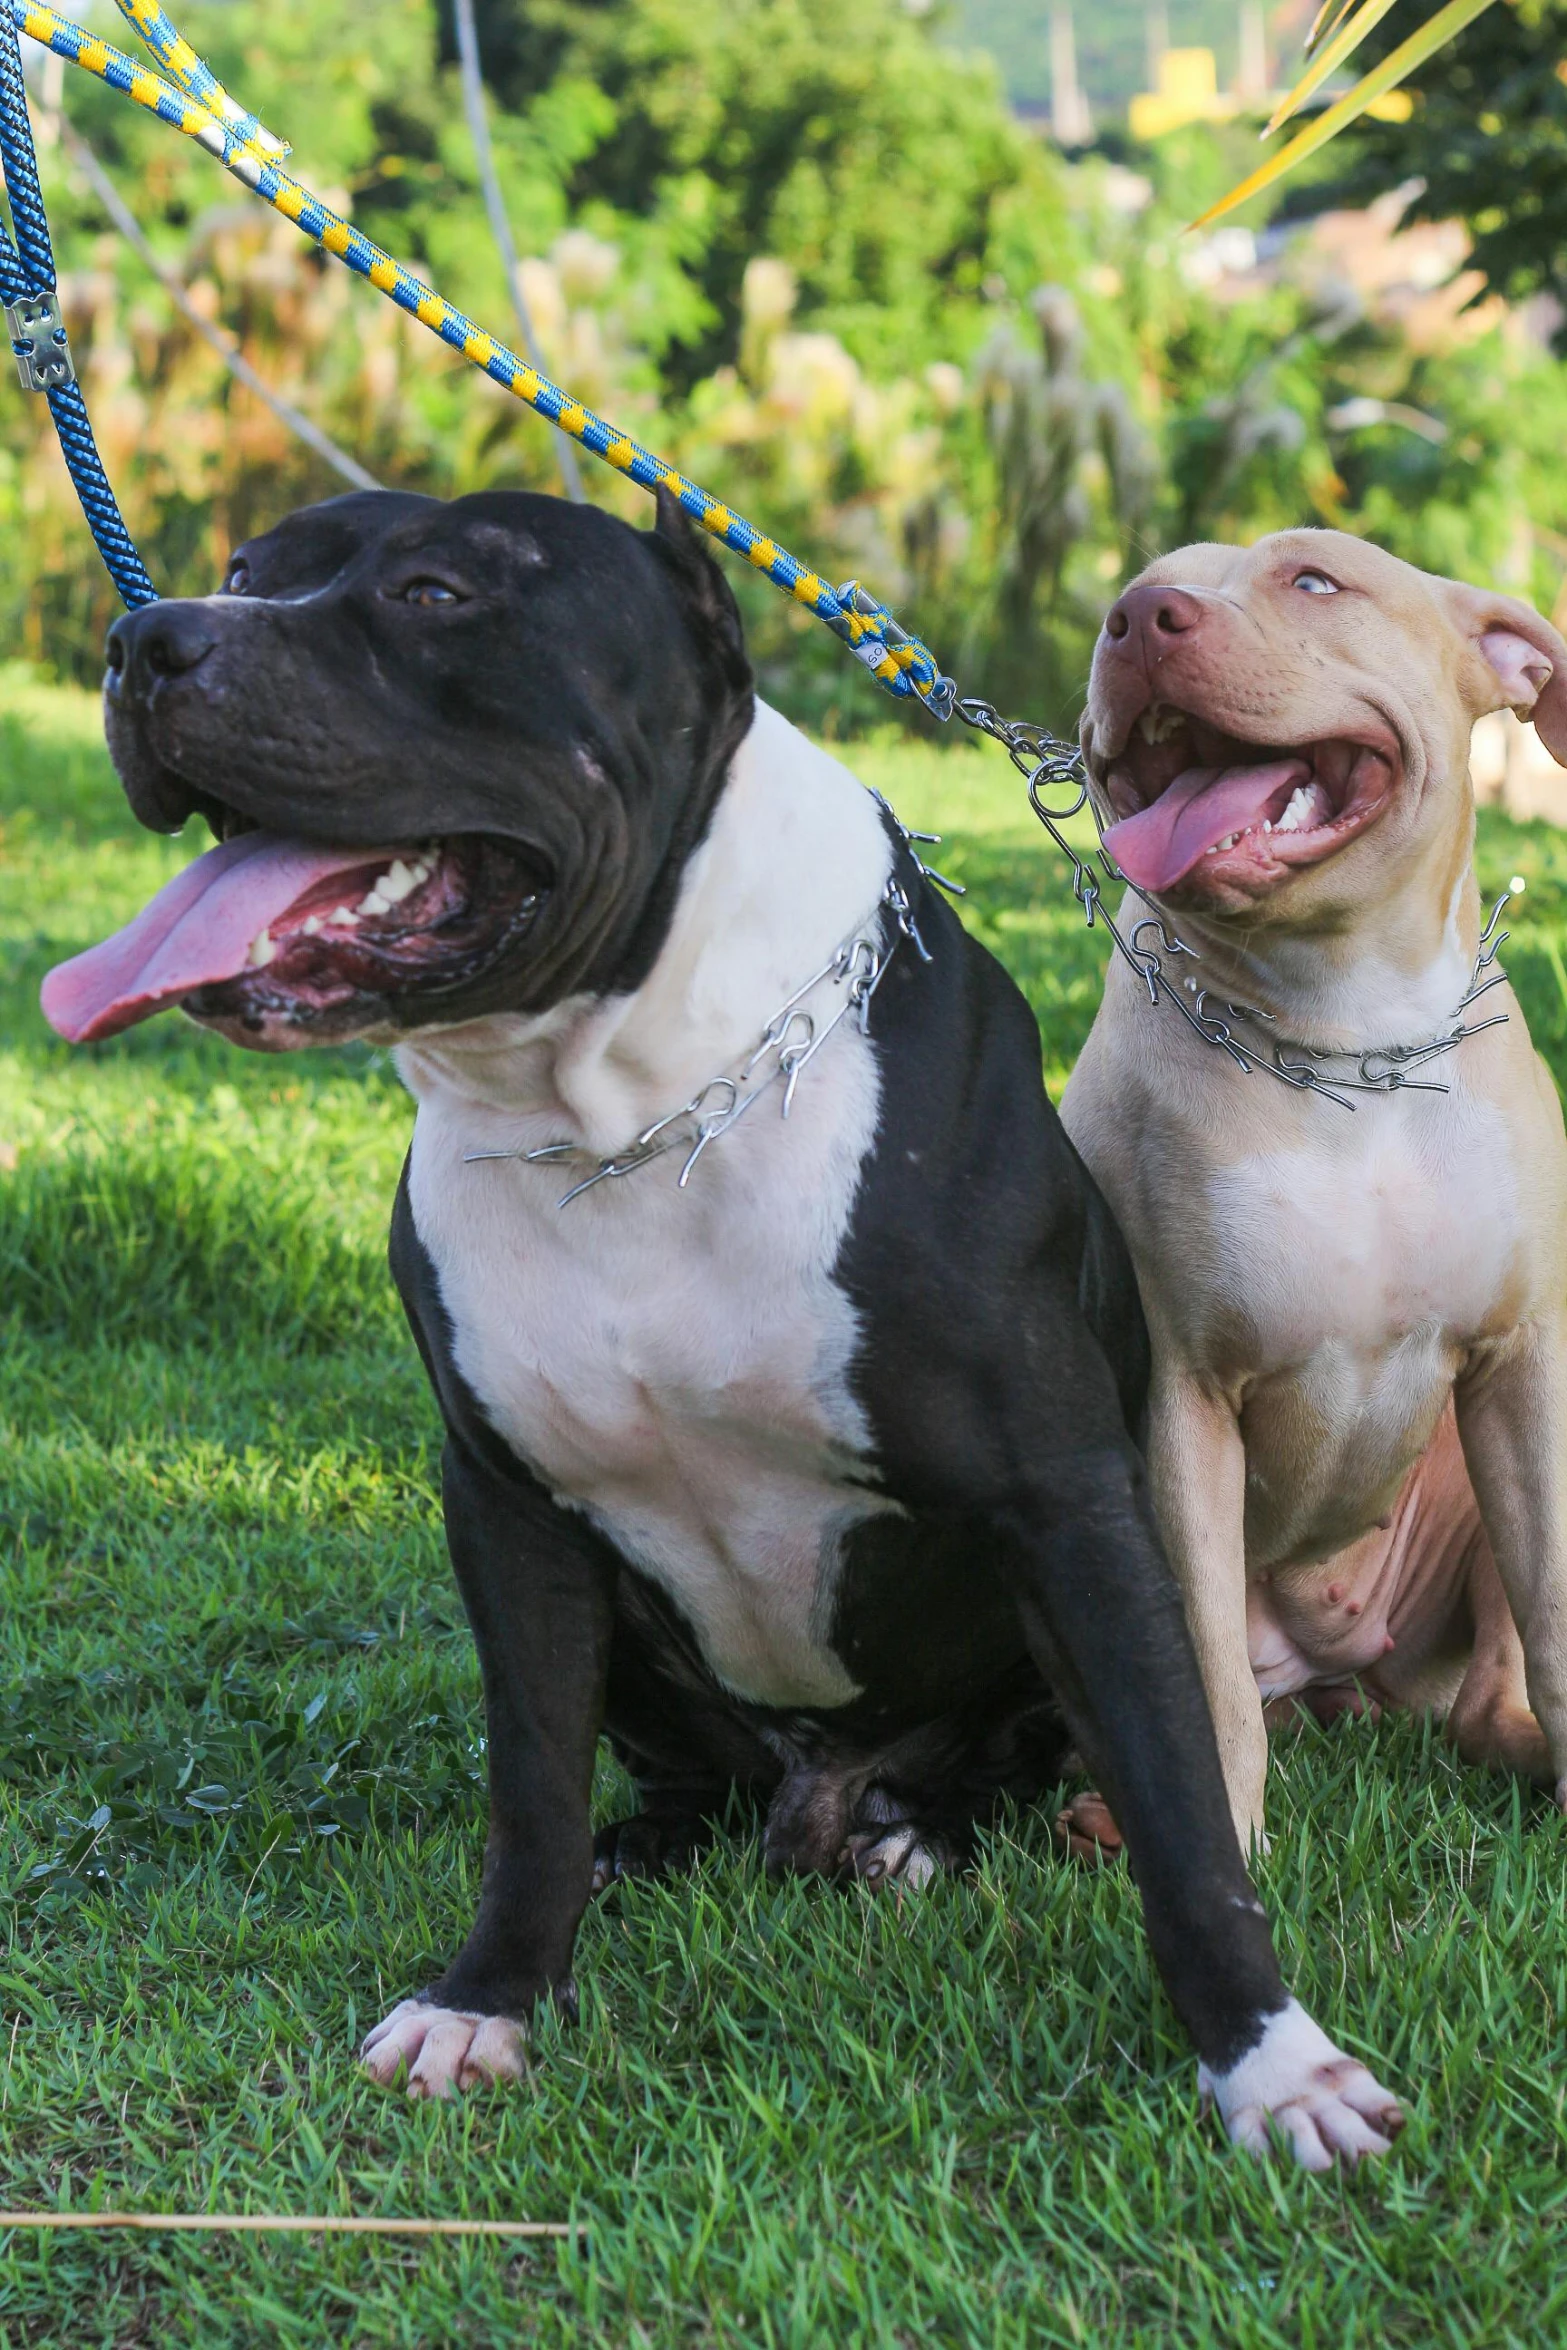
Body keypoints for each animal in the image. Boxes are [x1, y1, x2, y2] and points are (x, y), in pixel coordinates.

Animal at [42, 495, 1400, 2162]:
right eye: (247, 570)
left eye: (435, 592)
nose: (146, 636)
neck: (627, 1109)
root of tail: (814, 1790)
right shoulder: (505, 1513)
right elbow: (529, 1787)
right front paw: (489, 1996)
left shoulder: (1068, 1503)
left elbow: (1180, 1810)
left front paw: (1272, 2064)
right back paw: (653, 1849)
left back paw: (909, 1835)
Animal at [1061, 533, 1567, 1851]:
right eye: (1132, 589)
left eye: (1315, 582)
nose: (1138, 616)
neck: (1346, 1039)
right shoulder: (1180, 1399)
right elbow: (1201, 1679)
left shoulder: (1523, 1369)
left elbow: (1555, 1615)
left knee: (1484, 1694)